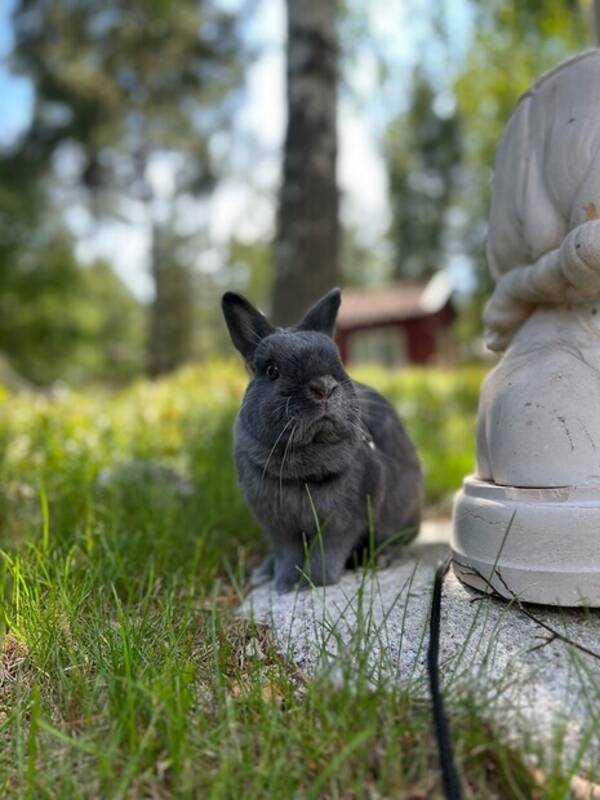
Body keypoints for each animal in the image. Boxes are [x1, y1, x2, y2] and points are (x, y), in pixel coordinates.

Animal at [223, 290, 424, 592]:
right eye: (271, 370)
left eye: (338, 362)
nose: (324, 387)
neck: (302, 472)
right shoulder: (279, 527)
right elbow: (288, 555)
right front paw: (284, 585)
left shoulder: (342, 523)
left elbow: (325, 555)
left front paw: (315, 584)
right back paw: (263, 573)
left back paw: (381, 559)